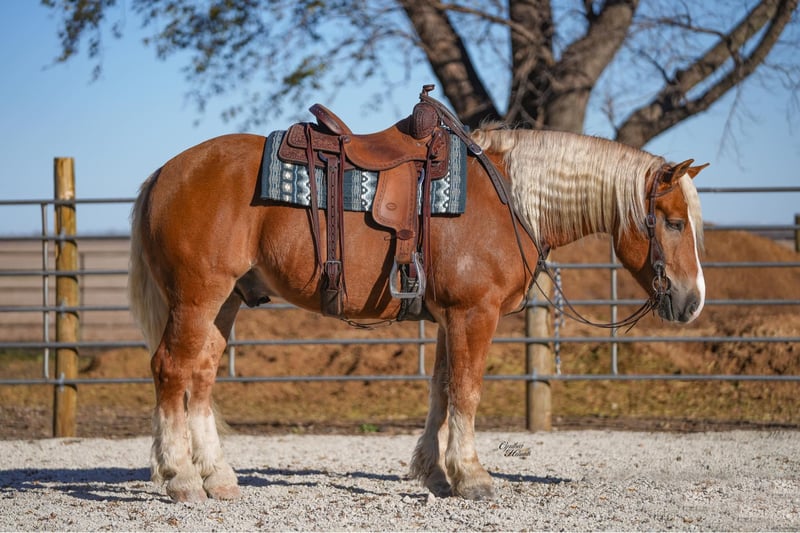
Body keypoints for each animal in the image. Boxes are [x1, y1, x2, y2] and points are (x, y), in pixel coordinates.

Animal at [128, 120, 707, 502]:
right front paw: (472, 477)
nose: (693, 300)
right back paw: (181, 478)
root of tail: (164, 173)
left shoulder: (452, 317)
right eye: (674, 222)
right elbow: (466, 391)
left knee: (201, 375)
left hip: (224, 302)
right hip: (197, 297)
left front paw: (434, 472)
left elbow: (441, 390)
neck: (512, 197)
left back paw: (219, 478)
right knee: (171, 370)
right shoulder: (475, 313)